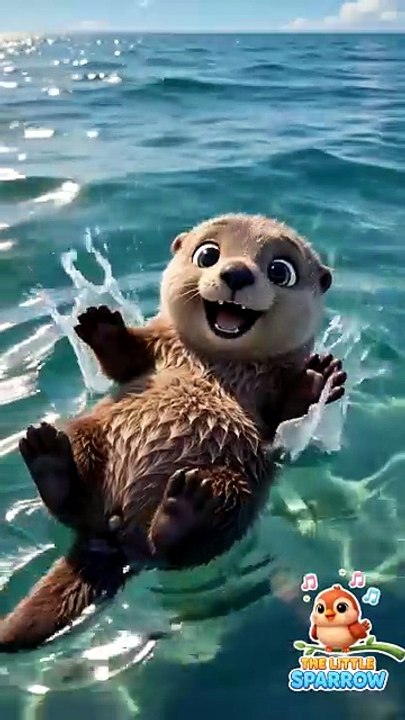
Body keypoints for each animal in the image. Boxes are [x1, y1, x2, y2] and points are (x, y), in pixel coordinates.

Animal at [0, 213, 346, 652]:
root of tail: (118, 535)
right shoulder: (157, 344)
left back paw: (188, 505)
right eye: (208, 254)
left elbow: (286, 413)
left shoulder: (275, 384)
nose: (235, 273)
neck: (215, 364)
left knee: (177, 548)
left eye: (280, 270)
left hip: (241, 487)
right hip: (91, 432)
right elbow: (125, 363)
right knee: (73, 500)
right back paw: (50, 459)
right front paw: (101, 323)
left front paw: (320, 374)